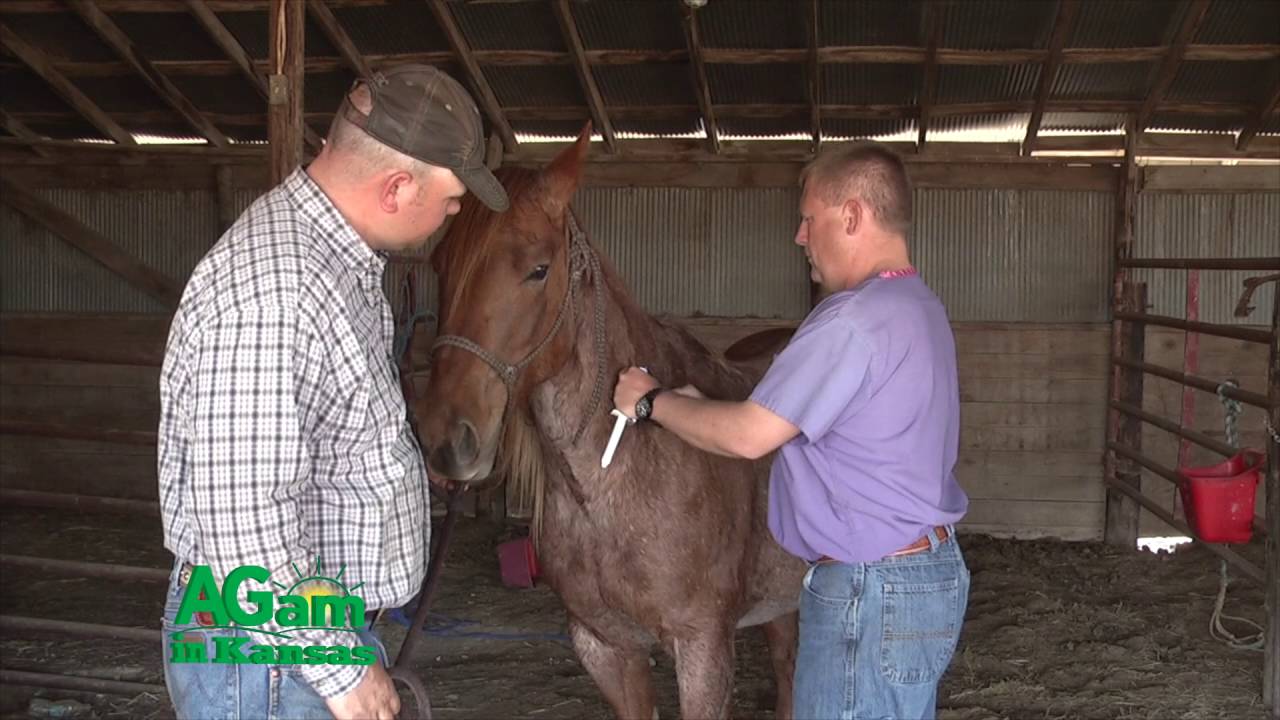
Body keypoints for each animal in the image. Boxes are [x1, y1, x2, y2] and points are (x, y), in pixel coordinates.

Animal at [416, 125, 807, 719]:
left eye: (538, 269)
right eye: (440, 265)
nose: (446, 443)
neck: (609, 478)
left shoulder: (704, 650)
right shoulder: (604, 647)